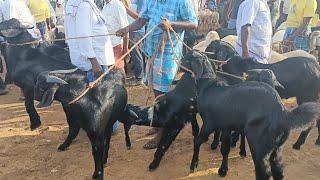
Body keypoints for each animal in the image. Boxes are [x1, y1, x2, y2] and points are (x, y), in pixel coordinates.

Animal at [181, 50, 318, 179]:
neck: (209, 86)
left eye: (187, 59)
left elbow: (198, 140)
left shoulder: (209, 123)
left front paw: (193, 165)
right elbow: (225, 148)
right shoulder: (226, 126)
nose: (181, 63)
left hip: (259, 143)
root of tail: (282, 113)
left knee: (264, 171)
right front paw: (223, 170)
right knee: (278, 170)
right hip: (276, 146)